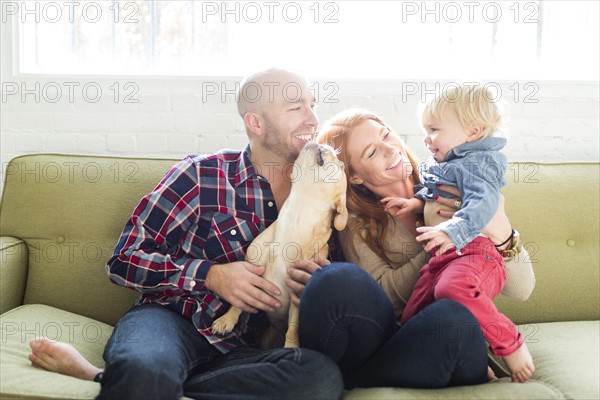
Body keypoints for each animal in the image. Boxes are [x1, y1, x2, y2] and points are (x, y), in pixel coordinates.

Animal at [213, 142, 350, 348]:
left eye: (341, 165)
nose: (323, 143)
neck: (296, 217)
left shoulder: (297, 295)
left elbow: (293, 327)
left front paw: (292, 347)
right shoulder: (252, 271)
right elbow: (238, 302)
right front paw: (226, 320)